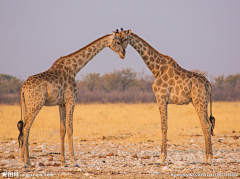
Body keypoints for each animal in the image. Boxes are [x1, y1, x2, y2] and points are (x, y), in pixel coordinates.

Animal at [16, 29, 125, 168]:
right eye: (118, 42)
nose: (123, 54)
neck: (75, 68)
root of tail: (22, 89)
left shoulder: (61, 103)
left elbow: (62, 130)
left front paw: (64, 161)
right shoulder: (71, 100)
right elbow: (70, 129)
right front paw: (74, 161)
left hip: (27, 106)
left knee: (25, 129)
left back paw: (29, 161)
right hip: (36, 105)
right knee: (26, 128)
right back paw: (22, 162)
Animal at [118, 28, 216, 165]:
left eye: (126, 38)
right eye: (118, 39)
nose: (121, 53)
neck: (157, 69)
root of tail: (208, 84)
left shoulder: (160, 97)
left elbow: (163, 126)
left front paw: (162, 157)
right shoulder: (164, 99)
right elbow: (165, 125)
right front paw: (163, 156)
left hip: (199, 101)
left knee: (205, 125)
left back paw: (208, 158)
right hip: (203, 102)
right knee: (208, 124)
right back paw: (208, 157)